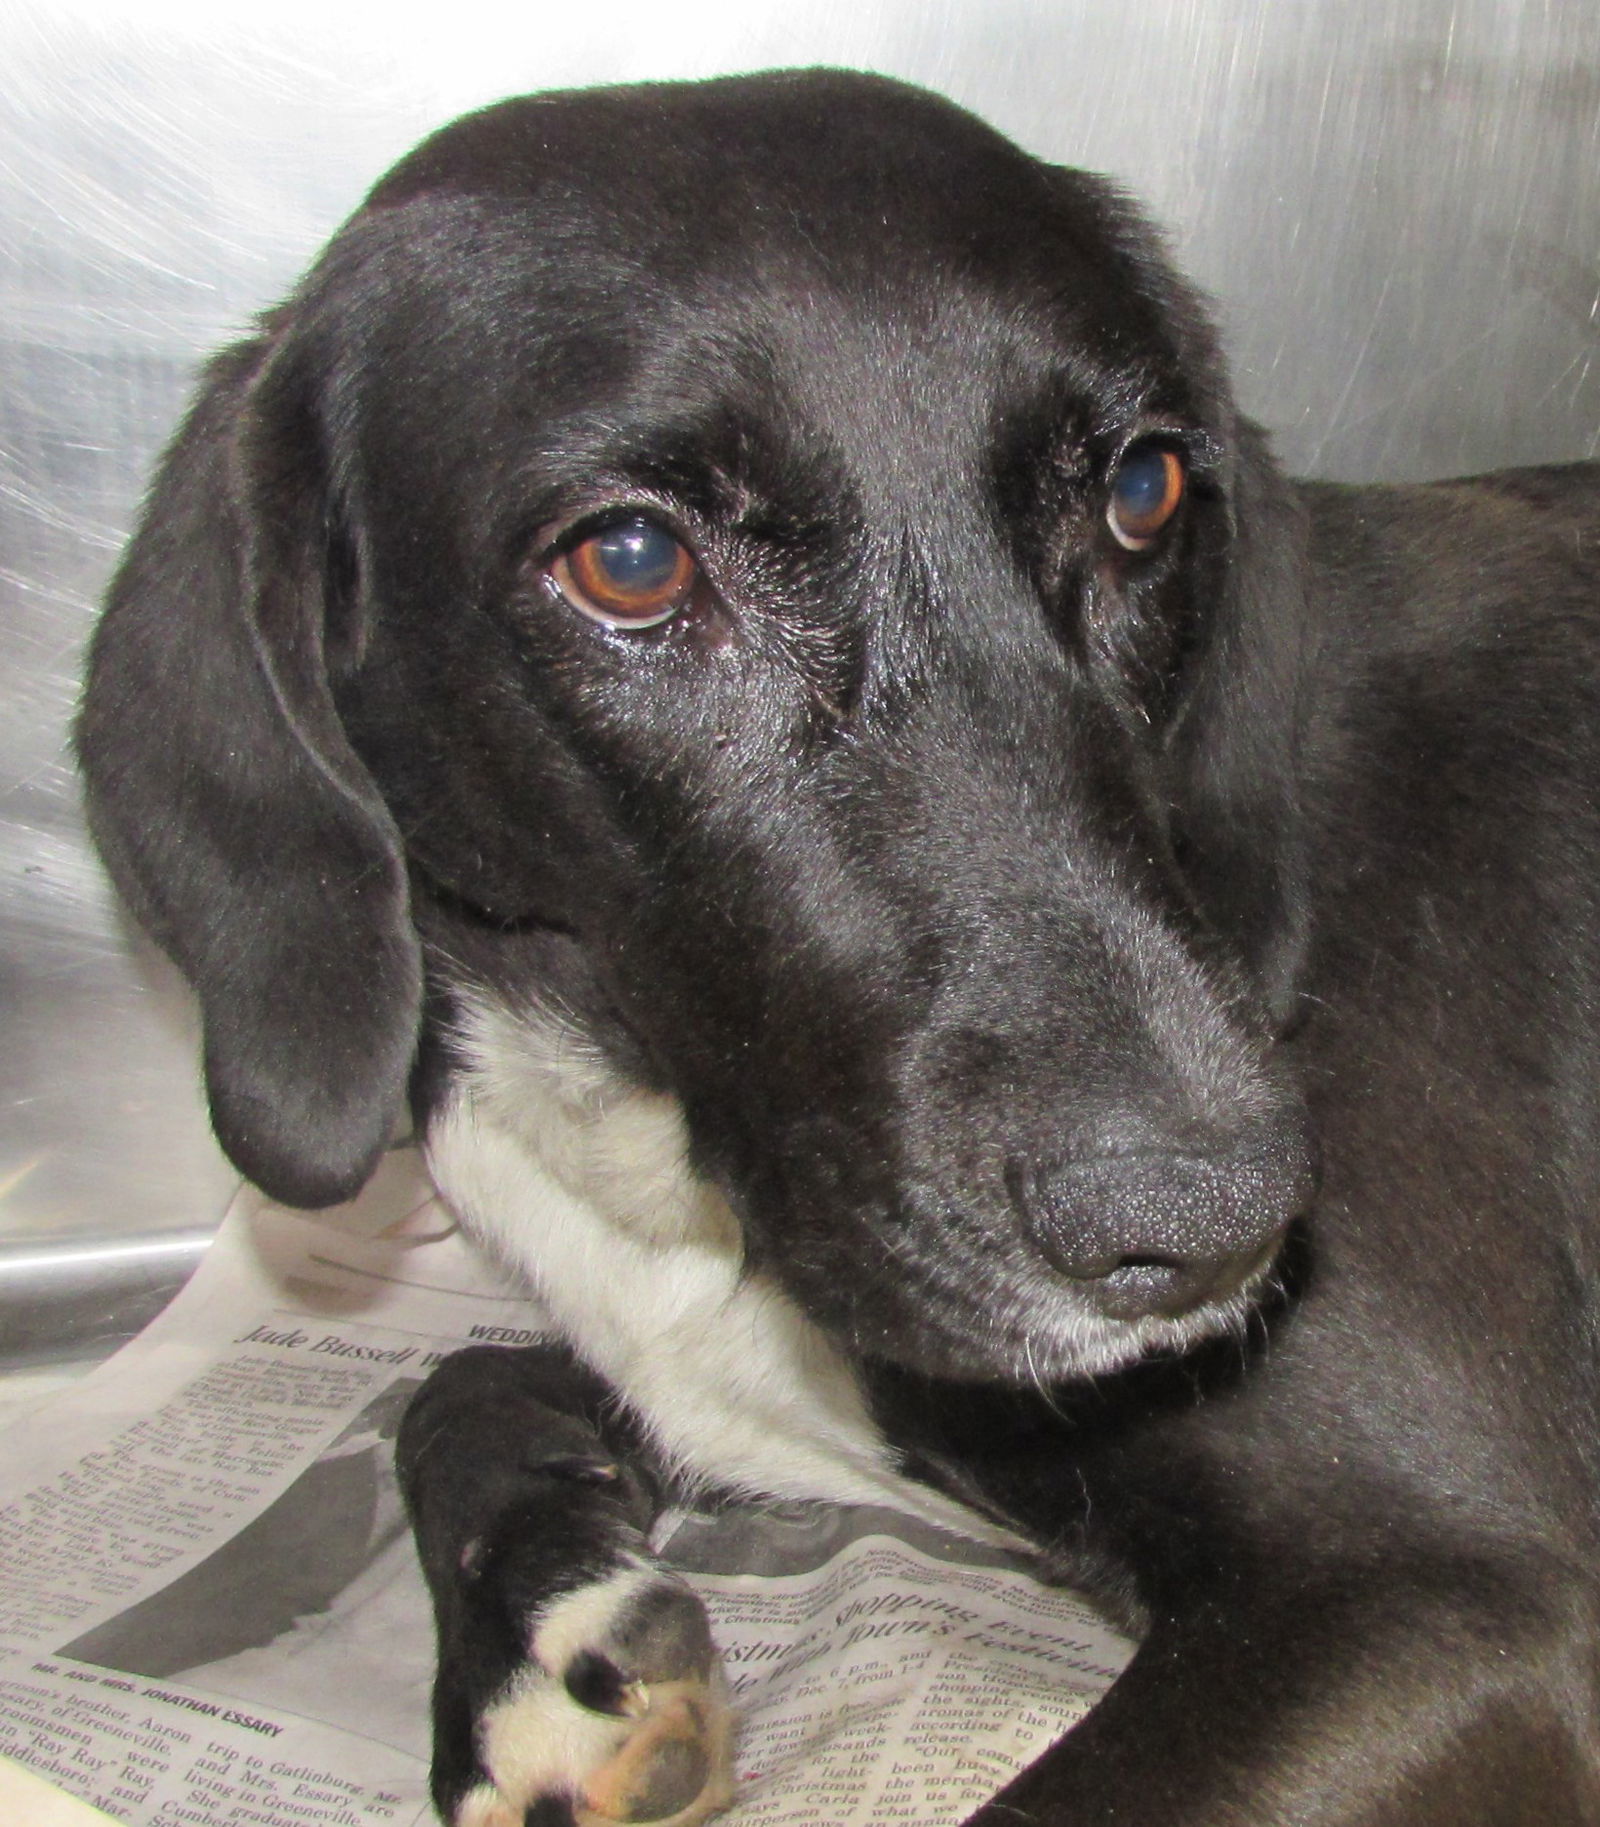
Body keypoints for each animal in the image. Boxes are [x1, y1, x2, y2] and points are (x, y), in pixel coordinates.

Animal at [81, 71, 1600, 1827]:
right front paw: (560, 1662)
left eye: (1142, 494)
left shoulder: (1450, 1592)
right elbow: (451, 1382)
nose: (1213, 1229)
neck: (657, 1128)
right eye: (629, 560)